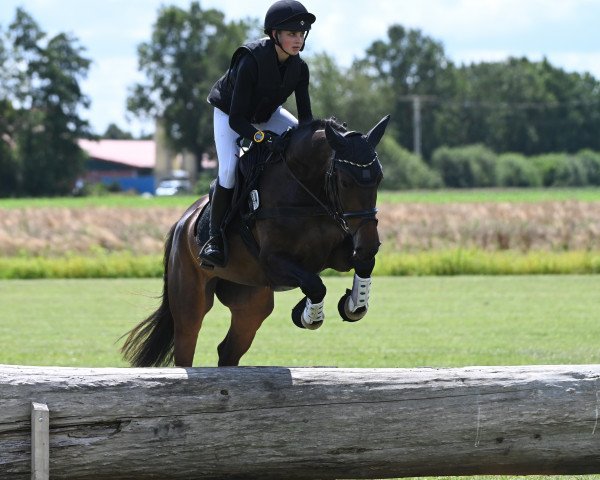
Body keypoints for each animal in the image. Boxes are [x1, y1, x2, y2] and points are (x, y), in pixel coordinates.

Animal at [122, 115, 390, 368]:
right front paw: (309, 316)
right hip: (190, 301)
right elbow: (315, 284)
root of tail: (182, 222)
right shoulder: (274, 262)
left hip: (250, 304)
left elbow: (363, 264)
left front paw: (354, 304)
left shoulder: (336, 254)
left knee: (228, 351)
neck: (305, 191)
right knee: (186, 343)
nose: (369, 242)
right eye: (344, 181)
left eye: (379, 178)